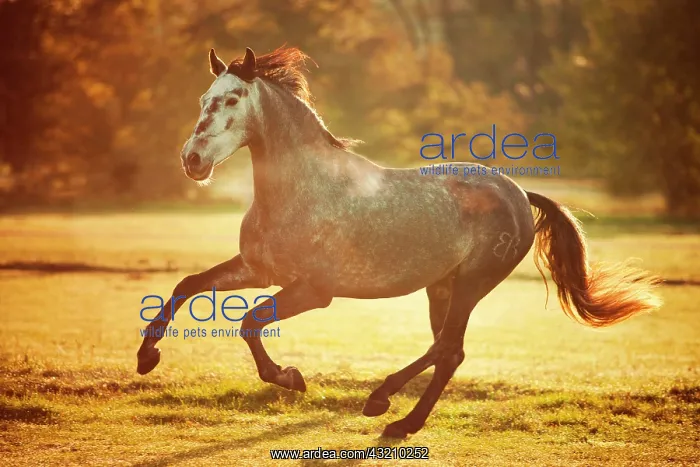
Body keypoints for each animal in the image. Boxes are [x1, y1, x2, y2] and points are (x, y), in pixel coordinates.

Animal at [136, 46, 662, 438]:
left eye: (230, 100)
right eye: (204, 97)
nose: (193, 160)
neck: (301, 190)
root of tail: (516, 191)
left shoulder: (314, 292)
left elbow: (249, 322)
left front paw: (290, 378)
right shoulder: (259, 270)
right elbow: (188, 285)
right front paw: (147, 358)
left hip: (471, 283)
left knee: (449, 349)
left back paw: (389, 411)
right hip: (441, 287)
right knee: (447, 349)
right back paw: (392, 410)